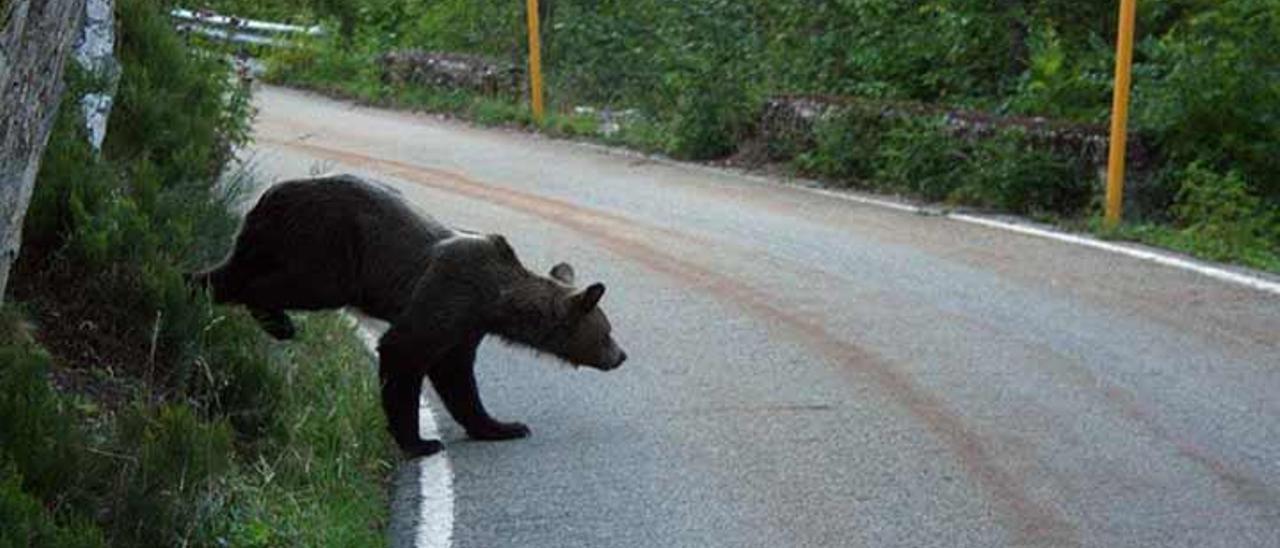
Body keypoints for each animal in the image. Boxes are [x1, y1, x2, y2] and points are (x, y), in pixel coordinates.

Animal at [188, 172, 624, 455]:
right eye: (606, 332)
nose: (621, 356)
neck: (496, 300)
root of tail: (269, 198)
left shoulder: (466, 326)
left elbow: (457, 377)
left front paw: (503, 426)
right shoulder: (450, 292)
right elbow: (405, 351)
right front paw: (420, 441)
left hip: (264, 241)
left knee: (227, 272)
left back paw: (191, 283)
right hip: (324, 247)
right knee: (285, 284)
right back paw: (278, 322)